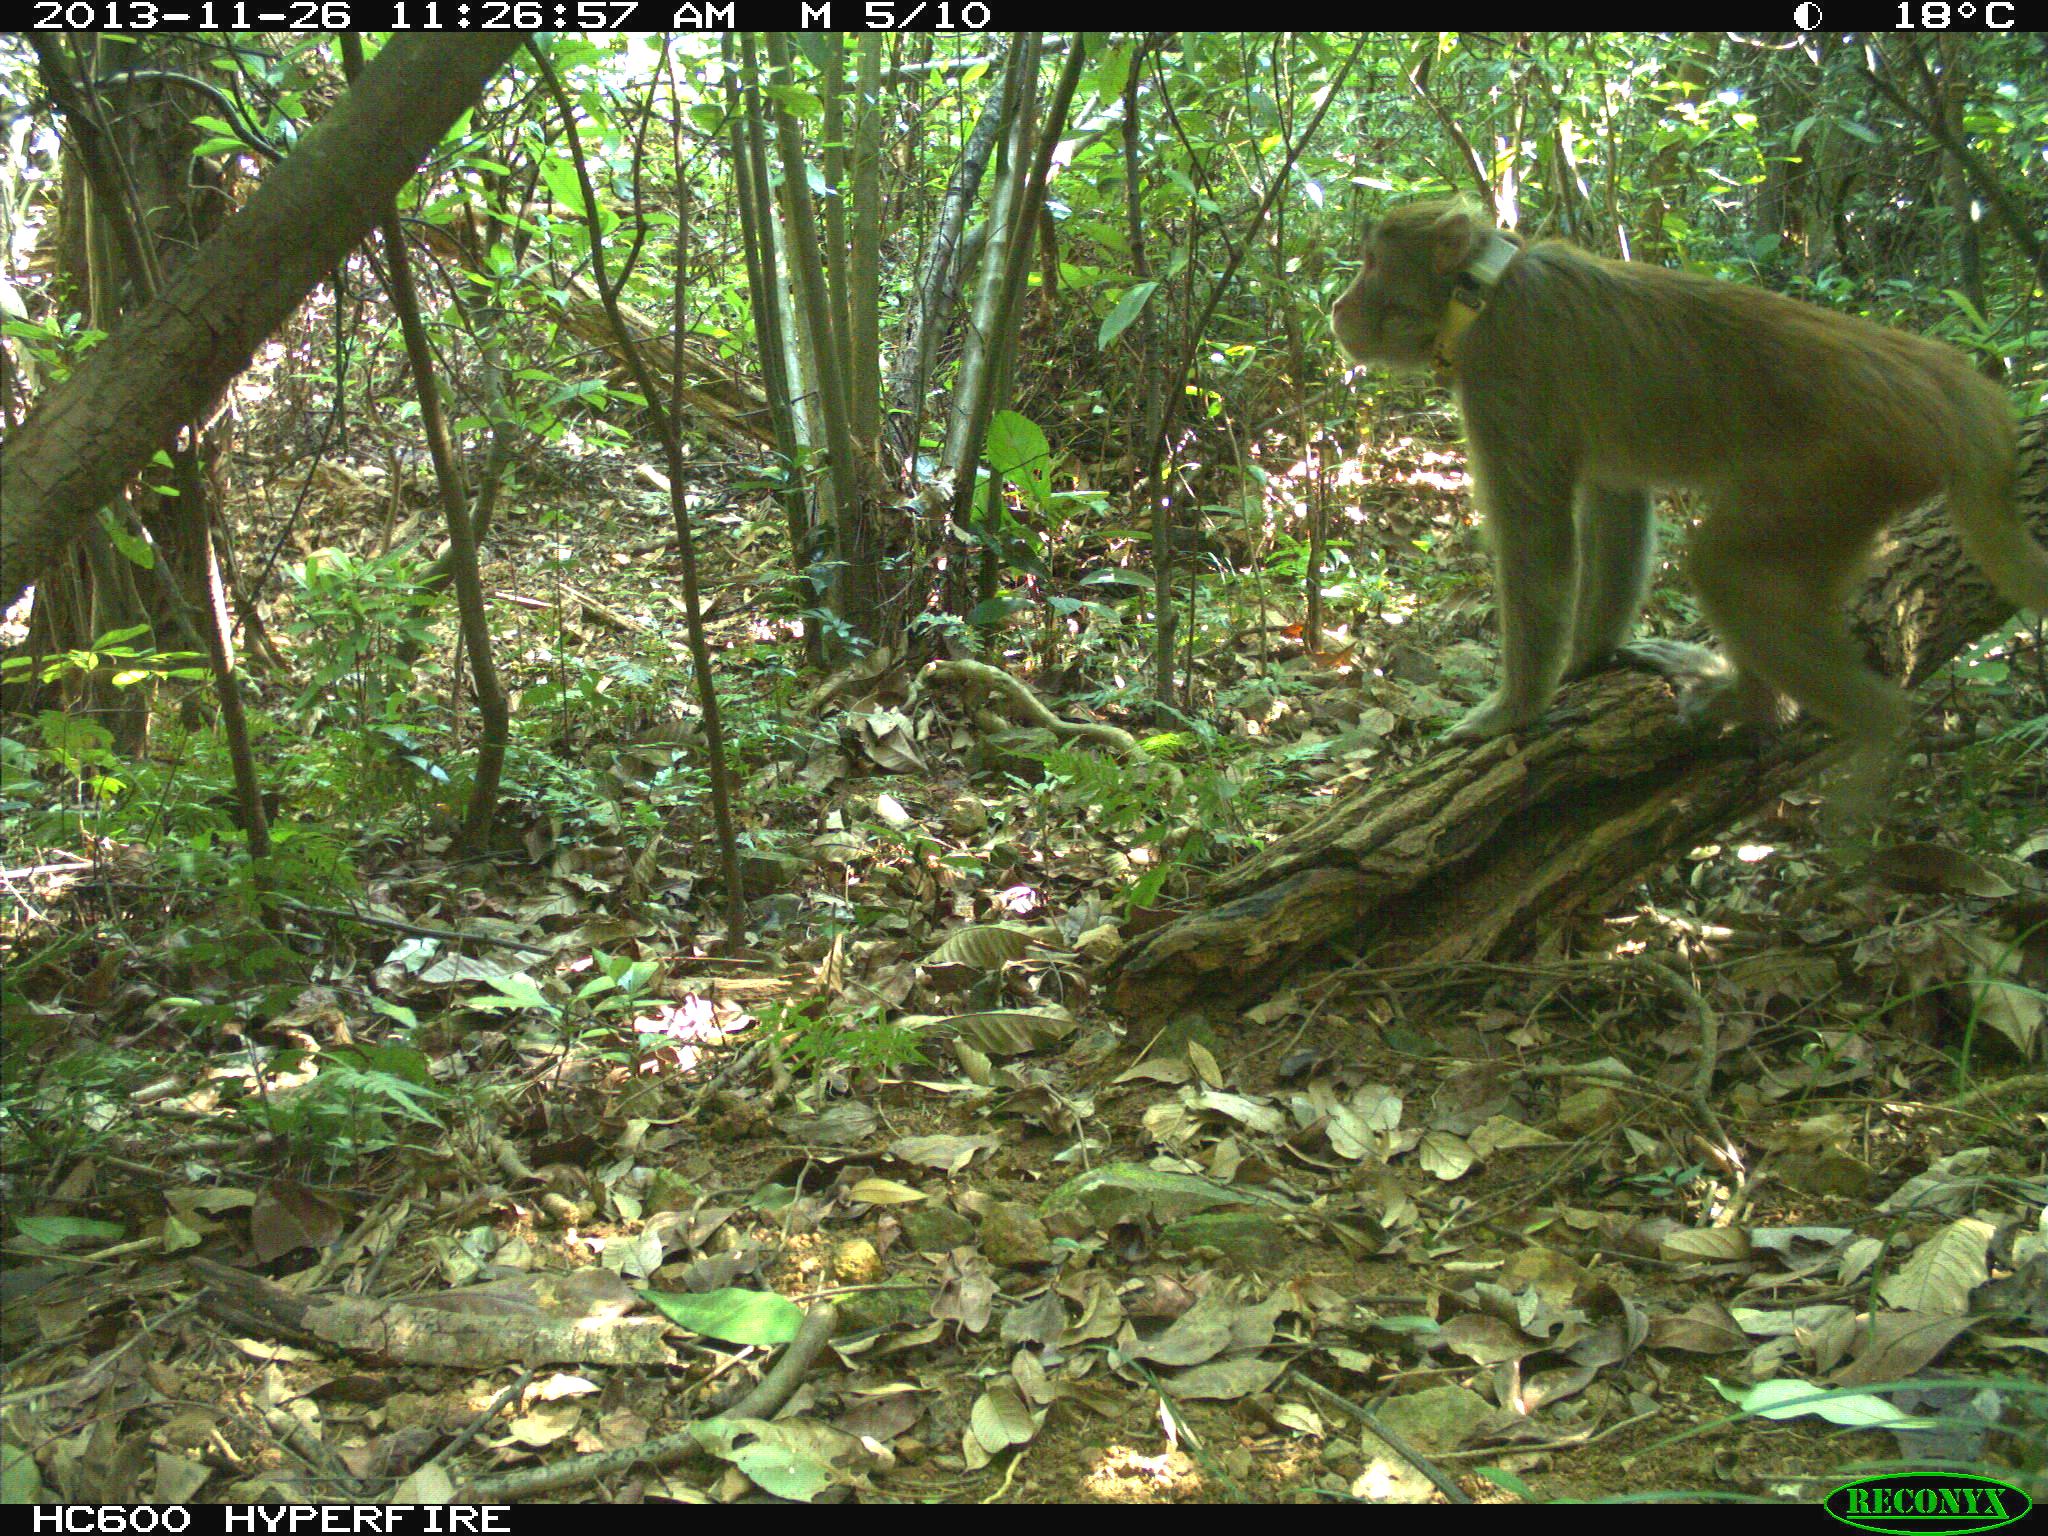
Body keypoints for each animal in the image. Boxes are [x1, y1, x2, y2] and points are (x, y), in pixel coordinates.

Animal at [1318, 201, 2039, 782]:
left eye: (1371, 261)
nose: (1337, 305)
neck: (1482, 291)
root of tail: (1942, 377)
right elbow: (1617, 499)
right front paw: (1588, 657)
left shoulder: (1503, 375)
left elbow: (1536, 543)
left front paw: (1513, 709)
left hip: (1835, 472)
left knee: (1726, 568)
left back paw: (1779, 708)